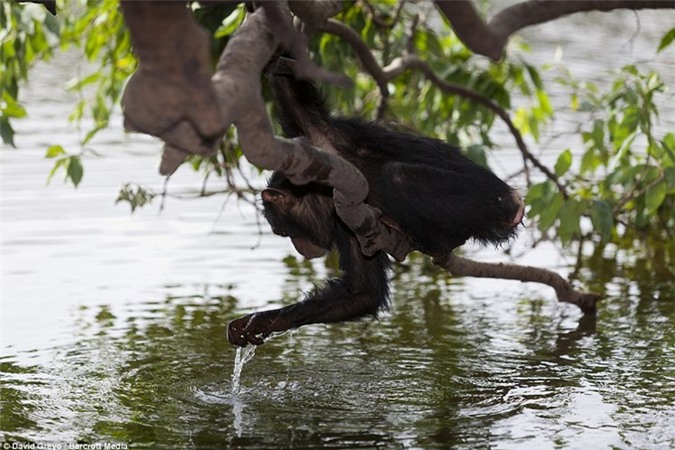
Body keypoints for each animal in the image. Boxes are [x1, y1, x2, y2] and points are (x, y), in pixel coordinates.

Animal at [226, 67, 524, 348]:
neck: (322, 190)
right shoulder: (346, 222)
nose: (299, 247)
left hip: (486, 201)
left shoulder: (321, 138)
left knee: (399, 176)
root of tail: (513, 199)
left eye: (284, 232)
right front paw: (261, 321)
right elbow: (363, 291)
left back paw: (424, 239)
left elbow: (292, 87)